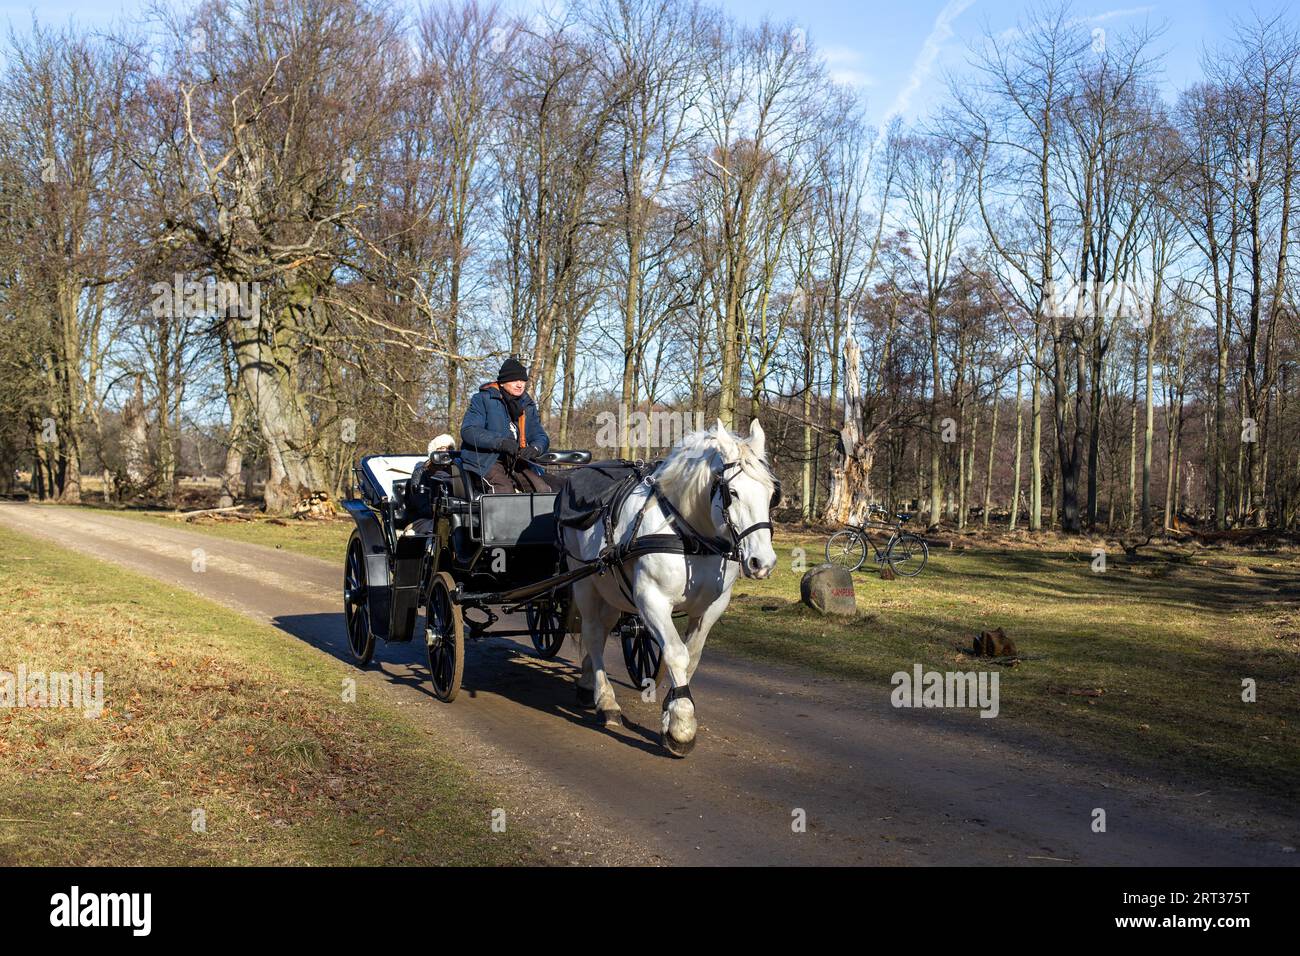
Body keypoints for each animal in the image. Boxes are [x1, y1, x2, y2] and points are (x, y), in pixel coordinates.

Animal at [564, 418, 774, 754]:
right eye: (732, 492)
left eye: (771, 493)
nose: (762, 562)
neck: (691, 535)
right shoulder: (651, 599)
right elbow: (676, 653)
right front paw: (682, 725)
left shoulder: (712, 607)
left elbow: (693, 656)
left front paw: (672, 709)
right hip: (584, 581)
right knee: (594, 633)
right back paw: (606, 701)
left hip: (611, 590)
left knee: (602, 628)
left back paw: (587, 683)